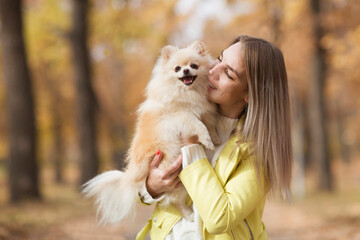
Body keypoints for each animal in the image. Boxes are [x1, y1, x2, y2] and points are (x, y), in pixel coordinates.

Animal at [83, 40, 218, 224]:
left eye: (194, 65)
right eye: (177, 68)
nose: (185, 70)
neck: (188, 92)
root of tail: (133, 174)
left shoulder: (204, 111)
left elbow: (209, 123)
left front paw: (215, 138)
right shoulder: (183, 116)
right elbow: (199, 125)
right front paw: (208, 140)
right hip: (172, 166)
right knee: (173, 200)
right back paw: (189, 214)